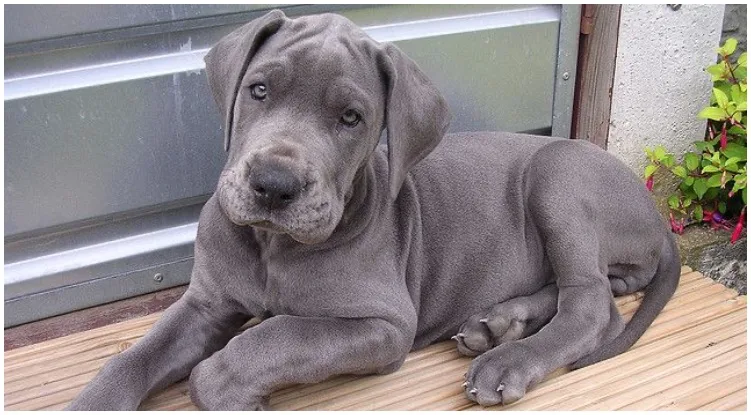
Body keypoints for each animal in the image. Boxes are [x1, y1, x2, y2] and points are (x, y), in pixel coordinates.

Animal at [69, 8, 680, 410]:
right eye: (259, 90)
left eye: (351, 118)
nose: (273, 185)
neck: (271, 246)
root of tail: (658, 221)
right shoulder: (206, 303)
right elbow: (133, 357)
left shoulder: (384, 324)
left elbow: (273, 337)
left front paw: (228, 385)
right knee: (589, 292)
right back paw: (496, 325)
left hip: (559, 175)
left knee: (593, 305)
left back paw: (507, 360)